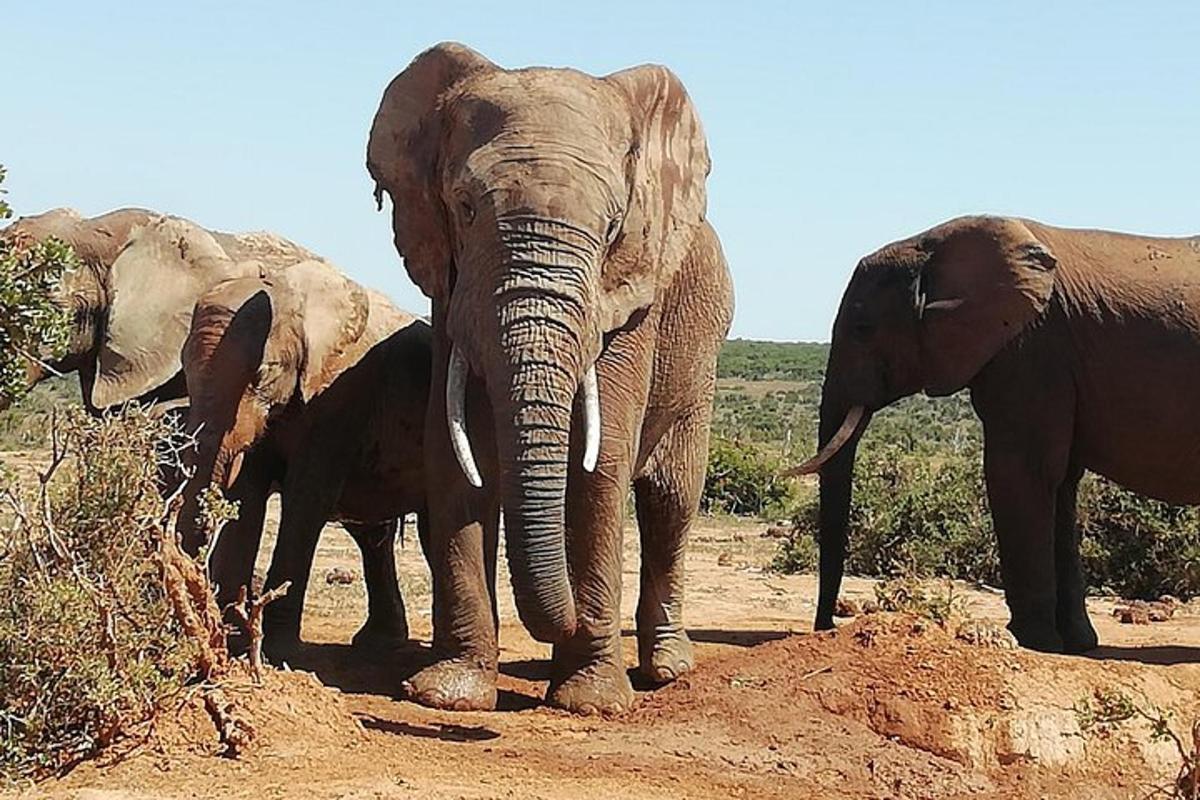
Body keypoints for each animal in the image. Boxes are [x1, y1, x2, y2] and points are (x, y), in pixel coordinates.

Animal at [171, 260, 429, 652]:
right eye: (183, 368)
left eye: (262, 373)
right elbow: (248, 496)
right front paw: (235, 638)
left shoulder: (343, 392)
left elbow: (306, 497)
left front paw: (276, 648)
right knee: (373, 536)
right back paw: (379, 643)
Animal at [364, 42, 734, 714]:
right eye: (463, 207)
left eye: (613, 226)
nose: (566, 624)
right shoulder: (452, 289)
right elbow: (454, 455)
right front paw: (449, 694)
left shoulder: (629, 298)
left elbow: (601, 462)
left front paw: (592, 703)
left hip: (701, 364)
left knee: (673, 500)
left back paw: (667, 670)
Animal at [792, 214, 1200, 657]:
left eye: (863, 329)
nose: (828, 626)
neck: (932, 247)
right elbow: (1060, 484)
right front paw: (1075, 643)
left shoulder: (1030, 349)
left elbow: (1018, 474)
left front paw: (1032, 642)